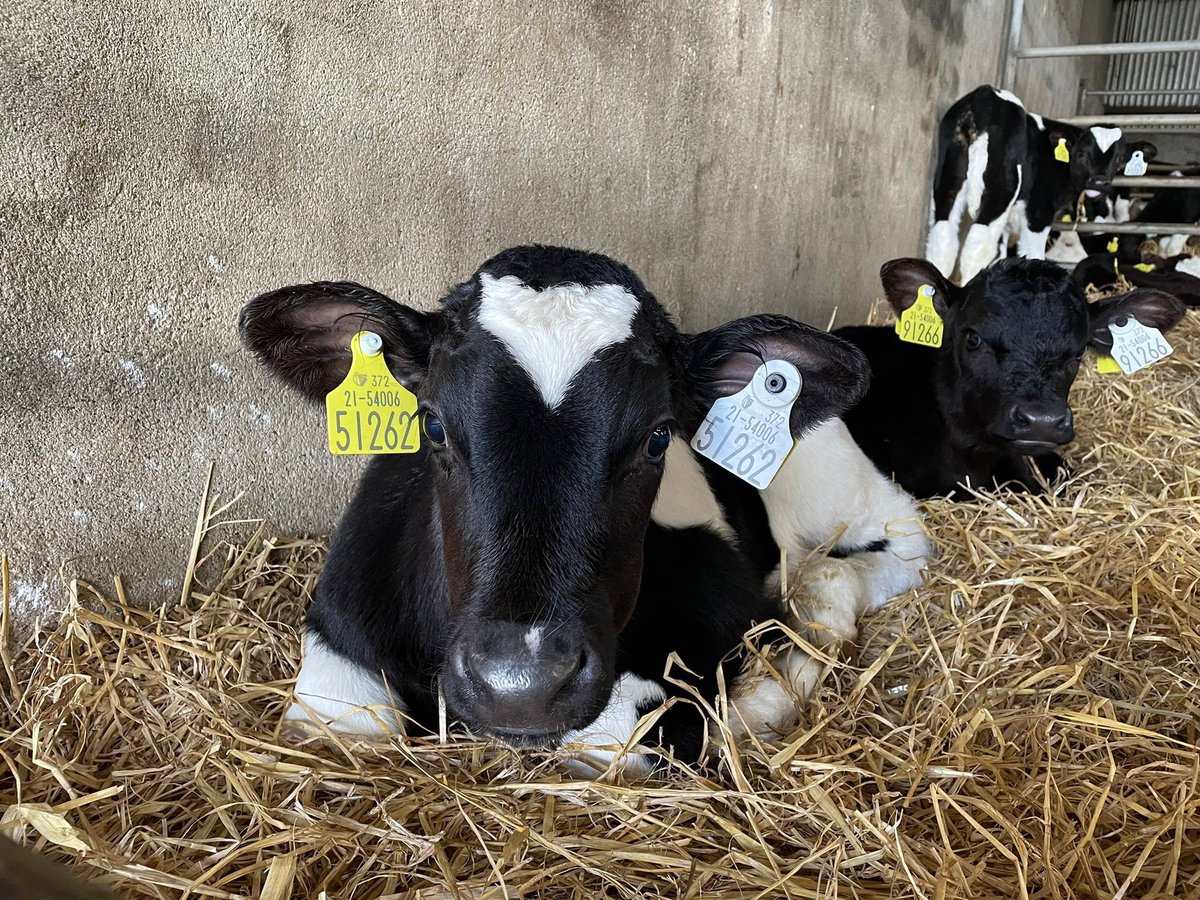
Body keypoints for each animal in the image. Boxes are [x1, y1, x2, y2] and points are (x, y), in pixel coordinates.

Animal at [239, 245, 931, 775]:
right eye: (431, 423)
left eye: (658, 436)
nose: (521, 683)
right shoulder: (339, 646)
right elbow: (340, 726)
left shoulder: (716, 600)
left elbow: (617, 731)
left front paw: (750, 702)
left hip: (841, 489)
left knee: (887, 552)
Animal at [925, 85, 1157, 284]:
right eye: (1082, 153)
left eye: (1119, 159)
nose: (1099, 182)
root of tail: (985, 94)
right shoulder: (1039, 213)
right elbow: (1033, 256)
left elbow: (1001, 257)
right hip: (1001, 191)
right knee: (976, 249)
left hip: (947, 181)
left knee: (942, 242)